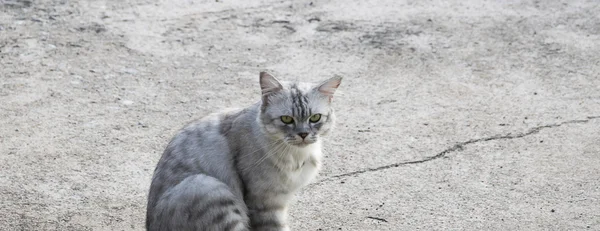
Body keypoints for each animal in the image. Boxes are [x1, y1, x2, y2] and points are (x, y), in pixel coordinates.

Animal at [146, 72, 342, 231]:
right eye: (286, 119)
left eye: (315, 118)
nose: (303, 134)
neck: (297, 155)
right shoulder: (265, 202)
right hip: (208, 188)